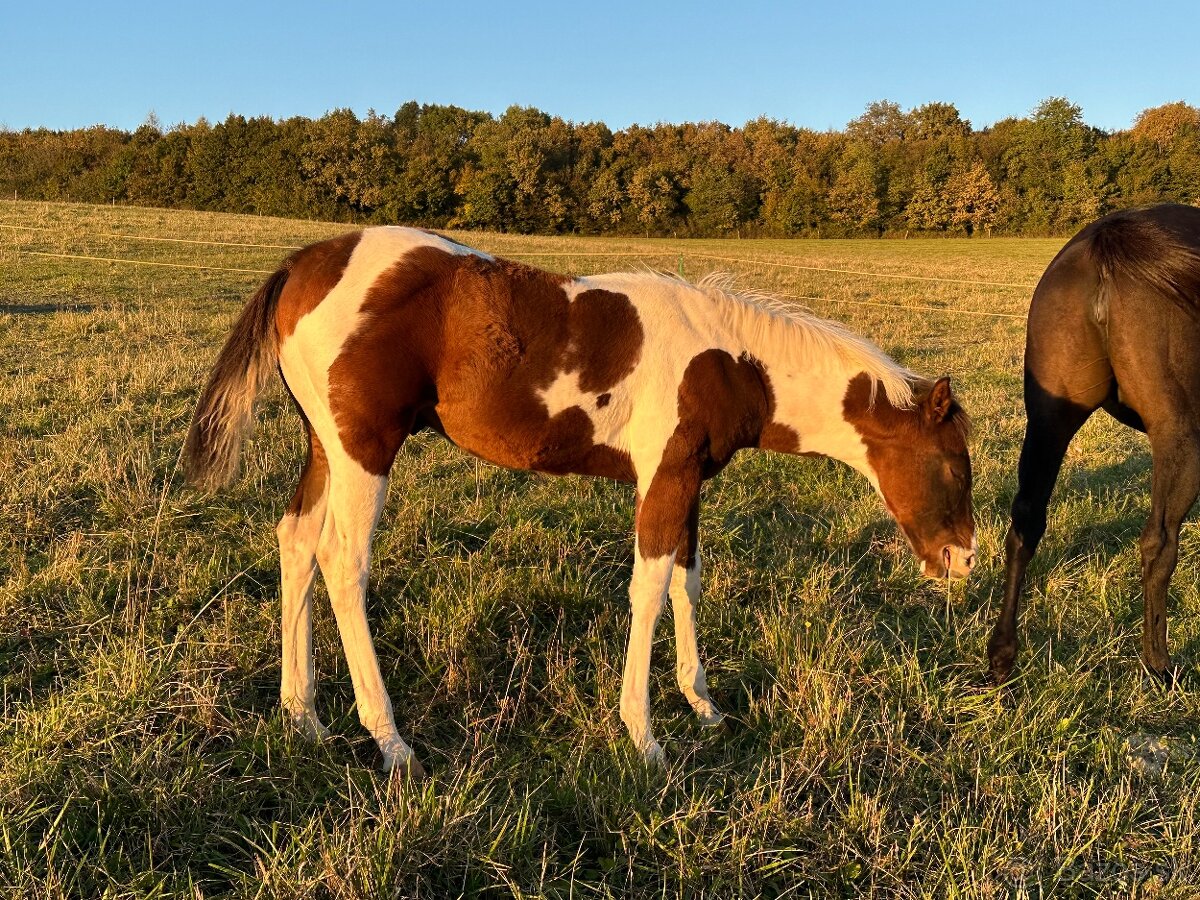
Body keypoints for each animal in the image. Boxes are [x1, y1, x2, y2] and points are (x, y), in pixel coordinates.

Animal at [988, 202, 1200, 681]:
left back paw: (1001, 656)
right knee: (1159, 543)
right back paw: (1159, 666)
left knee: (1025, 522)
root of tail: (1108, 244)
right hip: (1182, 436)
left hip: (1049, 420)